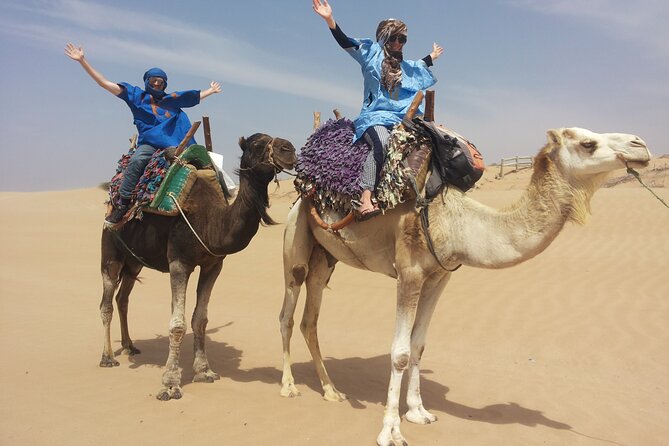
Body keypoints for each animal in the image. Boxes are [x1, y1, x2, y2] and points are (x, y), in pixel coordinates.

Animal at [100, 132, 294, 400]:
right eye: (256, 144)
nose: (290, 149)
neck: (211, 221)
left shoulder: (213, 265)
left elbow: (200, 319)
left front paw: (204, 371)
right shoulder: (179, 262)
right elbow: (177, 324)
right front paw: (170, 384)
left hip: (134, 262)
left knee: (123, 299)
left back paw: (129, 346)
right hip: (111, 252)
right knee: (106, 303)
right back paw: (108, 357)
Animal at [276, 127, 648, 444]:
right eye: (588, 143)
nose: (640, 145)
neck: (456, 222)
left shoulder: (439, 276)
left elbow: (418, 345)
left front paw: (419, 412)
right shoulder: (409, 272)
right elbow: (399, 352)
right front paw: (391, 431)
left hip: (325, 258)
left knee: (310, 319)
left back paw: (331, 391)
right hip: (297, 243)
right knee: (287, 313)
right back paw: (289, 387)